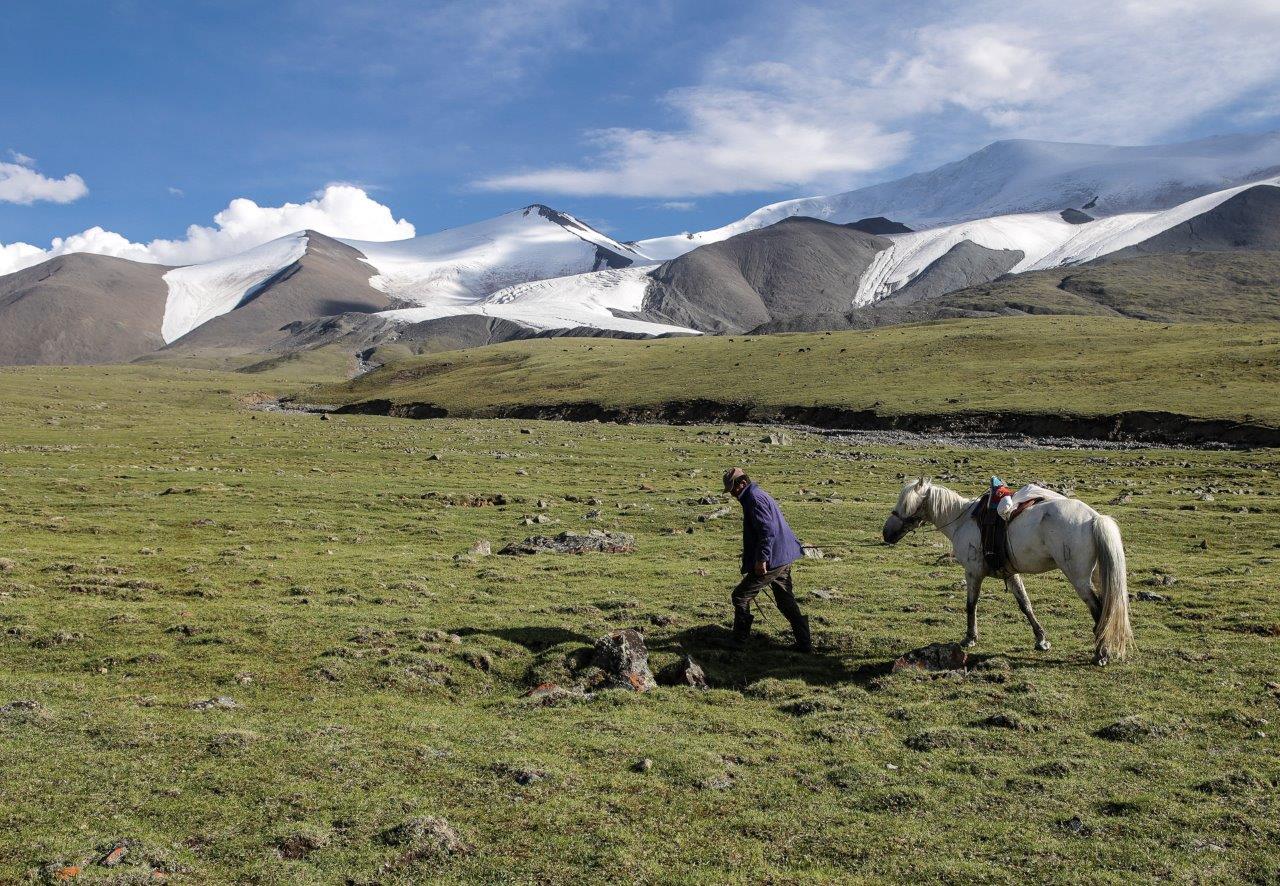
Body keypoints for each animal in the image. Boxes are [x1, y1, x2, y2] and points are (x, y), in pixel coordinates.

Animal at [885, 478, 1136, 665]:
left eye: (905, 503)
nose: (886, 533)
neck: (962, 520)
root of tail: (1094, 518)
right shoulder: (1010, 573)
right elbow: (1025, 605)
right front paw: (1041, 640)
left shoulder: (973, 573)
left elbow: (971, 605)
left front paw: (970, 638)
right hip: (1096, 576)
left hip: (1080, 579)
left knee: (1099, 611)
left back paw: (1100, 654)